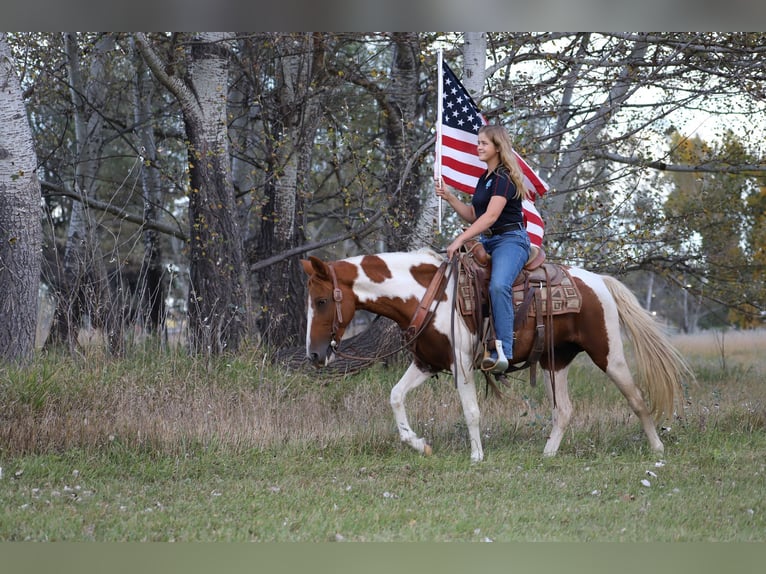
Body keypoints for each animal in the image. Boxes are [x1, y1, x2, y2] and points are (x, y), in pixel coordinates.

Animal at [302, 250, 696, 466]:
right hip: (555, 362)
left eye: (321, 301)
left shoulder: (462, 366)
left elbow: (471, 411)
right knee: (564, 410)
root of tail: (597, 280)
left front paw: (476, 456)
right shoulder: (427, 363)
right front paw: (419, 444)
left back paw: (657, 448)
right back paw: (548, 454)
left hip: (608, 354)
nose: (315, 355)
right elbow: (395, 396)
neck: (427, 296)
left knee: (637, 398)